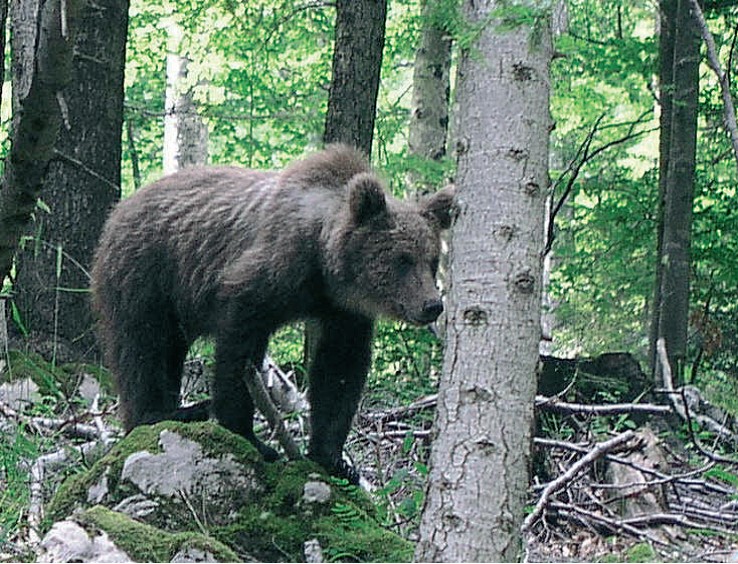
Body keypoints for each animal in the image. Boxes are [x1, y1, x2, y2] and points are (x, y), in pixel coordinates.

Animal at [89, 144, 452, 480]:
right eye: (402, 259)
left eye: (431, 259)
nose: (432, 305)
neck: (324, 268)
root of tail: (118, 209)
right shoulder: (267, 276)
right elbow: (240, 352)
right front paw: (252, 437)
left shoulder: (344, 312)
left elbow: (339, 371)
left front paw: (332, 458)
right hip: (146, 273)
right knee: (141, 348)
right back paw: (160, 414)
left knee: (169, 351)